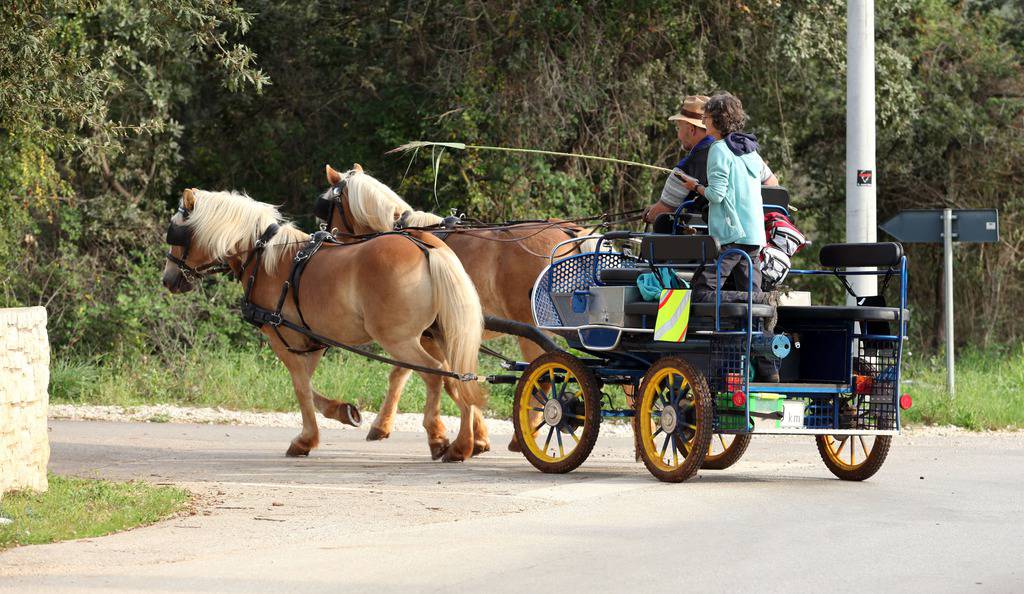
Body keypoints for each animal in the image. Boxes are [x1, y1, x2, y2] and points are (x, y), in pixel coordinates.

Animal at [161, 188, 489, 460]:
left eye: (176, 234)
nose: (167, 279)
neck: (265, 260)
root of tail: (427, 247)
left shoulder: (285, 339)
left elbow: (301, 389)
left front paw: (305, 440)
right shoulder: (312, 342)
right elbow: (309, 387)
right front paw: (343, 411)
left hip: (400, 339)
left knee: (435, 376)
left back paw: (441, 439)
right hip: (439, 334)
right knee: (459, 377)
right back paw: (465, 443)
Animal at [315, 164, 598, 448]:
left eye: (327, 206)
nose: (328, 240)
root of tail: (572, 234)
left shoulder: (420, 335)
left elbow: (415, 374)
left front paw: (383, 426)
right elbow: (441, 374)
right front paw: (476, 434)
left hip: (530, 329)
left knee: (543, 378)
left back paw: (522, 439)